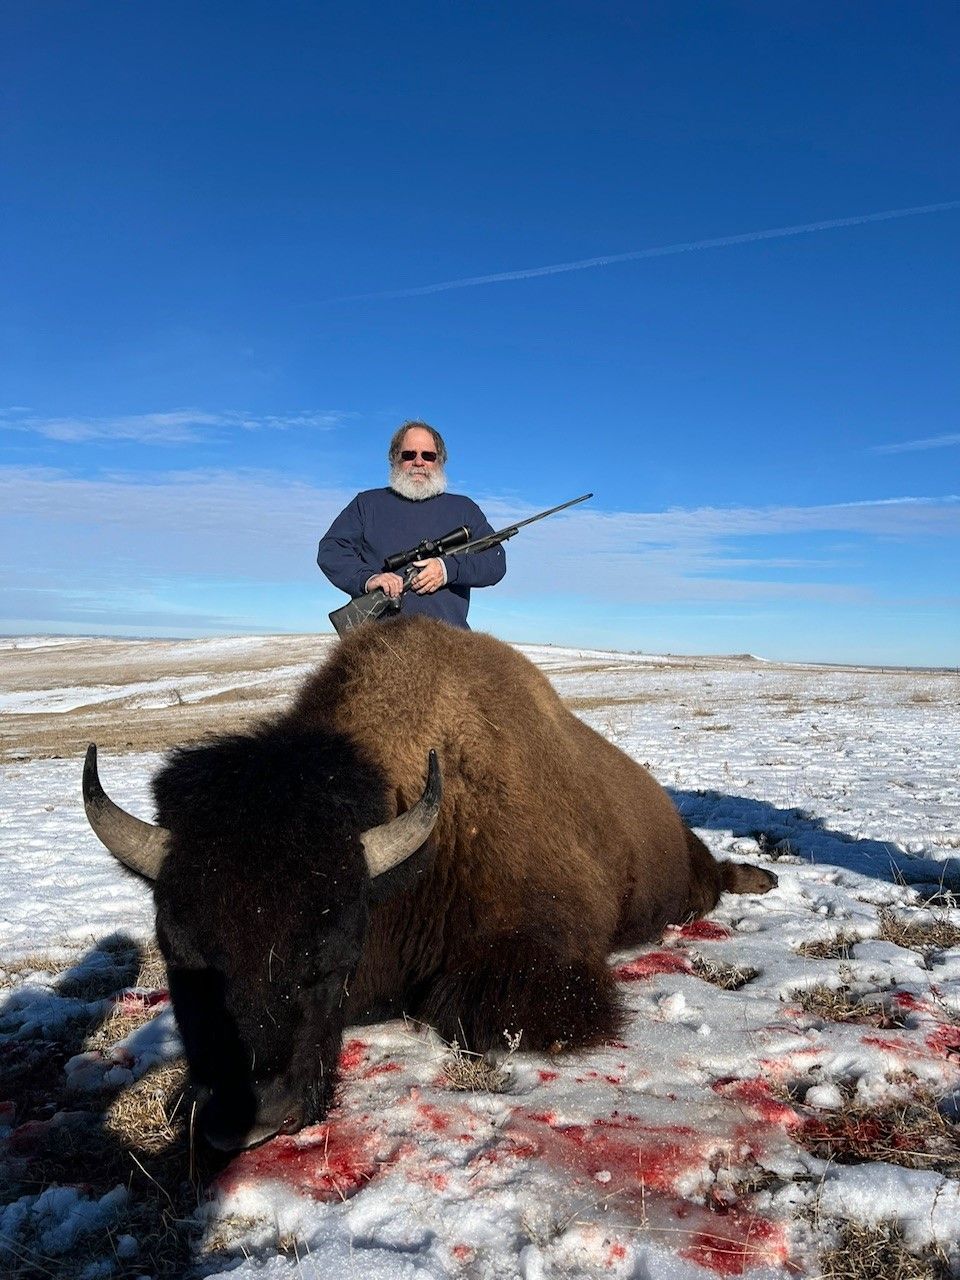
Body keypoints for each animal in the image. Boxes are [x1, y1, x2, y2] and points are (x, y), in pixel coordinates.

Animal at [83, 617, 775, 1151]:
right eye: (177, 954)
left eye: (331, 959)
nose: (248, 1121)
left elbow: (463, 1005)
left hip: (684, 880)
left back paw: (760, 877)